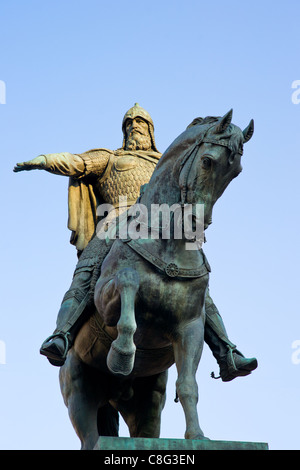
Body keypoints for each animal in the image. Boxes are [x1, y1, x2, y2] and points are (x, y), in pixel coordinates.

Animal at [58, 108, 253, 450]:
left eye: (236, 172)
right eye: (207, 161)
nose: (198, 222)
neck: (167, 241)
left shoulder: (190, 328)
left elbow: (188, 385)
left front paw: (198, 437)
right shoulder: (107, 299)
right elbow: (127, 291)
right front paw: (123, 356)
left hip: (147, 400)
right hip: (79, 393)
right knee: (90, 437)